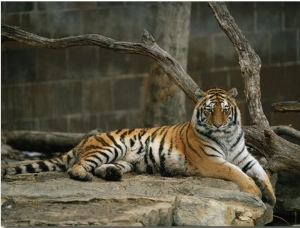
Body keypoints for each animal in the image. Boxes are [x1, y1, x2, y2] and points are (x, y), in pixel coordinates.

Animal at [1, 87, 276, 205]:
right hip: (108, 147)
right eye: (209, 110)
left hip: (125, 159)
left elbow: (261, 171)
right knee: (76, 166)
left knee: (101, 167)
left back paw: (112, 174)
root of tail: (83, 140)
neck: (227, 137)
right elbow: (235, 172)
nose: (218, 124)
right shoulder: (211, 161)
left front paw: (271, 195)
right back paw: (83, 176)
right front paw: (254, 191)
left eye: (225, 110)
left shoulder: (245, 156)